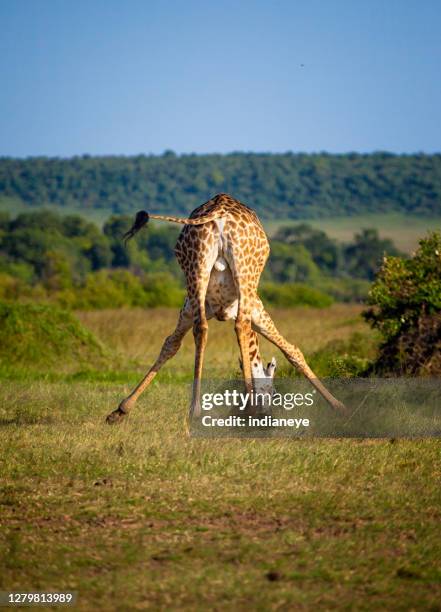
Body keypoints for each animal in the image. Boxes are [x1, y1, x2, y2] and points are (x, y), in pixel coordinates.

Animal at [105, 194, 346, 424]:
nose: (268, 415)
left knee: (201, 329)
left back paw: (195, 411)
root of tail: (219, 213)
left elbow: (170, 345)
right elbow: (292, 351)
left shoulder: (188, 309)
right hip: (245, 278)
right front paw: (339, 406)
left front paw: (120, 410)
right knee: (240, 326)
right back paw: (247, 411)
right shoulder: (257, 311)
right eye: (274, 393)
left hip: (196, 274)